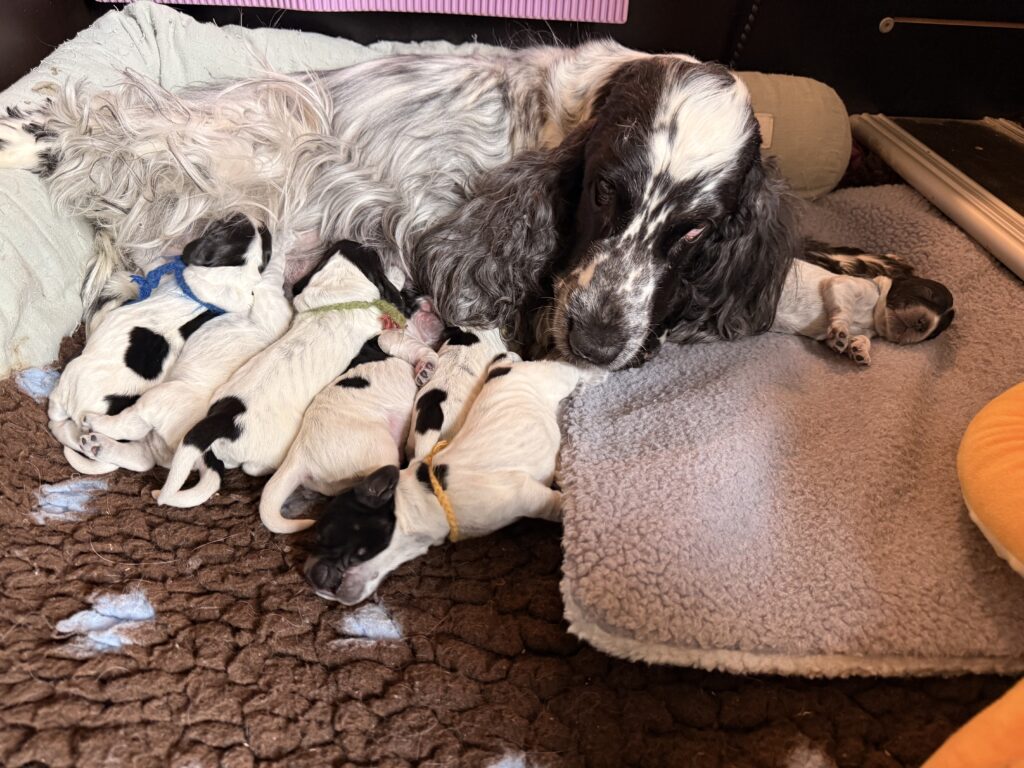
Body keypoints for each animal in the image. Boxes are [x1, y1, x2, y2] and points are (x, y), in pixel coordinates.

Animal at [155, 240, 409, 508]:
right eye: (372, 255)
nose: (363, 242)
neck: (336, 289)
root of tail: (225, 420)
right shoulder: (374, 321)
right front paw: (397, 274)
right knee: (253, 467)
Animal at [258, 302, 445, 534]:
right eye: (410, 302)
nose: (434, 311)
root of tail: (299, 456)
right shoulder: (391, 339)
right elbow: (418, 349)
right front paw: (426, 367)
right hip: (378, 448)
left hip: (336, 479)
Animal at [303, 358, 584, 605]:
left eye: (324, 537)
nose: (308, 575)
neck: (425, 502)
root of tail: (506, 366)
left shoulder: (526, 496)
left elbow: (556, 506)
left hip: (556, 376)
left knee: (580, 372)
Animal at [773, 257, 955, 364]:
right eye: (928, 293)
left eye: (934, 334)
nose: (923, 325)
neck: (874, 319)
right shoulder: (843, 284)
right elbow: (845, 310)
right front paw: (841, 329)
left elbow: (856, 339)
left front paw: (858, 349)